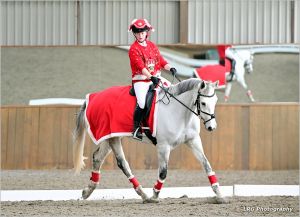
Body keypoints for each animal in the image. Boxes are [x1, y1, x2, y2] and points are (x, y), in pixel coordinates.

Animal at [74, 78, 226, 203]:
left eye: (215, 101)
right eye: (203, 103)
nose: (211, 127)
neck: (180, 113)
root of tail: (93, 96)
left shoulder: (193, 141)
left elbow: (206, 164)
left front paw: (219, 194)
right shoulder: (164, 146)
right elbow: (163, 172)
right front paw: (155, 195)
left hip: (110, 136)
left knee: (98, 158)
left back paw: (88, 191)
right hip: (113, 137)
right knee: (123, 163)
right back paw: (145, 195)